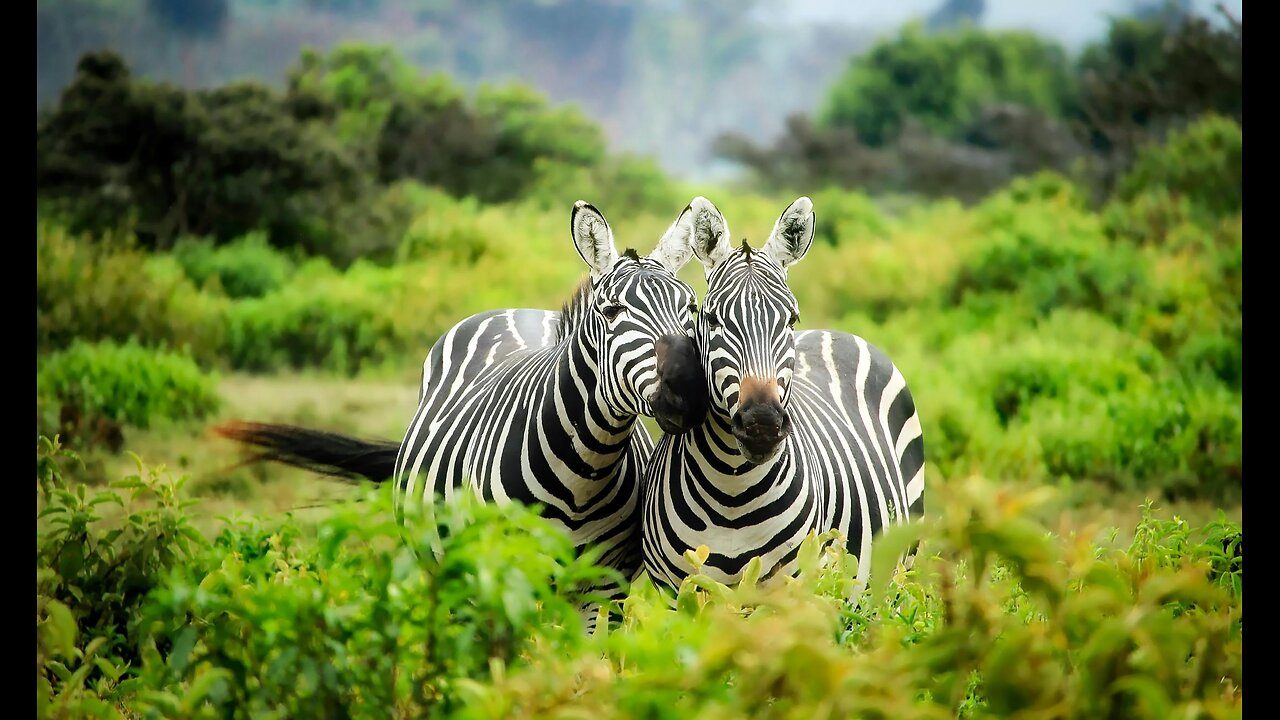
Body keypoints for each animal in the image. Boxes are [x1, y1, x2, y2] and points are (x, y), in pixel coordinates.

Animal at [218, 198, 711, 625]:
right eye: (611, 311)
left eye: (691, 307)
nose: (689, 391)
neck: (583, 473)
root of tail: (516, 309)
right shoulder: (500, 575)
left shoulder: (603, 588)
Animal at [645, 194, 926, 594]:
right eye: (712, 319)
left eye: (791, 319)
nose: (761, 424)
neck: (731, 492)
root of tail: (834, 331)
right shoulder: (676, 592)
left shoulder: (792, 588)